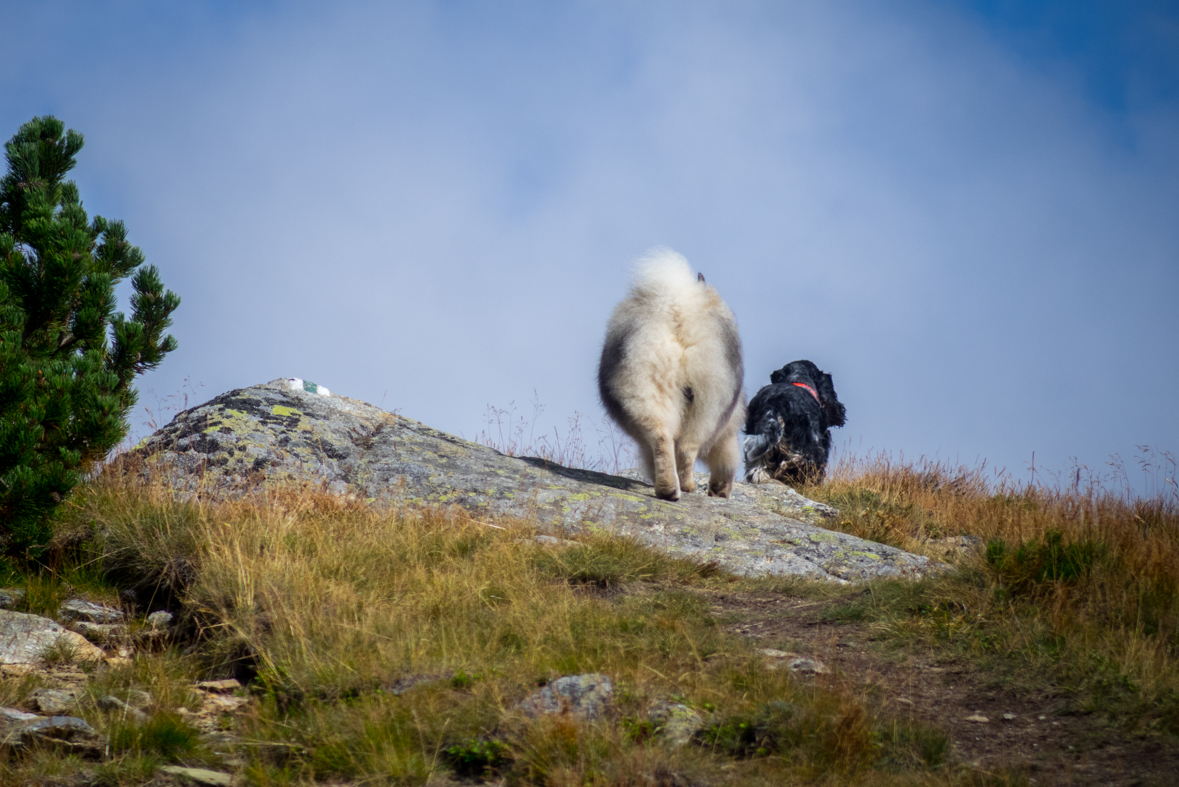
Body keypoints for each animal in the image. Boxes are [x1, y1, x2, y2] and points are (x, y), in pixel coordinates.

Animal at [598, 248, 745, 501]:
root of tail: (677, 312)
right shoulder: (728, 424)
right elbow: (726, 456)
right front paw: (720, 490)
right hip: (710, 404)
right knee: (688, 447)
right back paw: (686, 486)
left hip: (649, 388)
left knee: (661, 437)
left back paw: (668, 488)